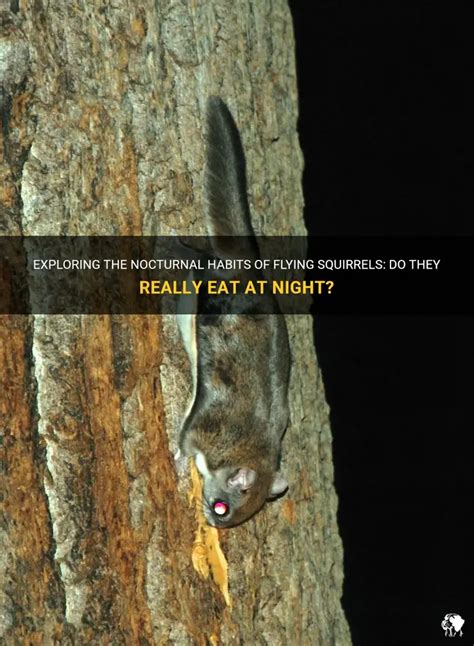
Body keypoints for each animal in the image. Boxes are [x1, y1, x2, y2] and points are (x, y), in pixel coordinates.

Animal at [176, 97, 291, 528]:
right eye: (223, 506)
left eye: (238, 516)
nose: (213, 522)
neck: (248, 447)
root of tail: (248, 266)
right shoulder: (202, 429)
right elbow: (185, 442)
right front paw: (179, 459)